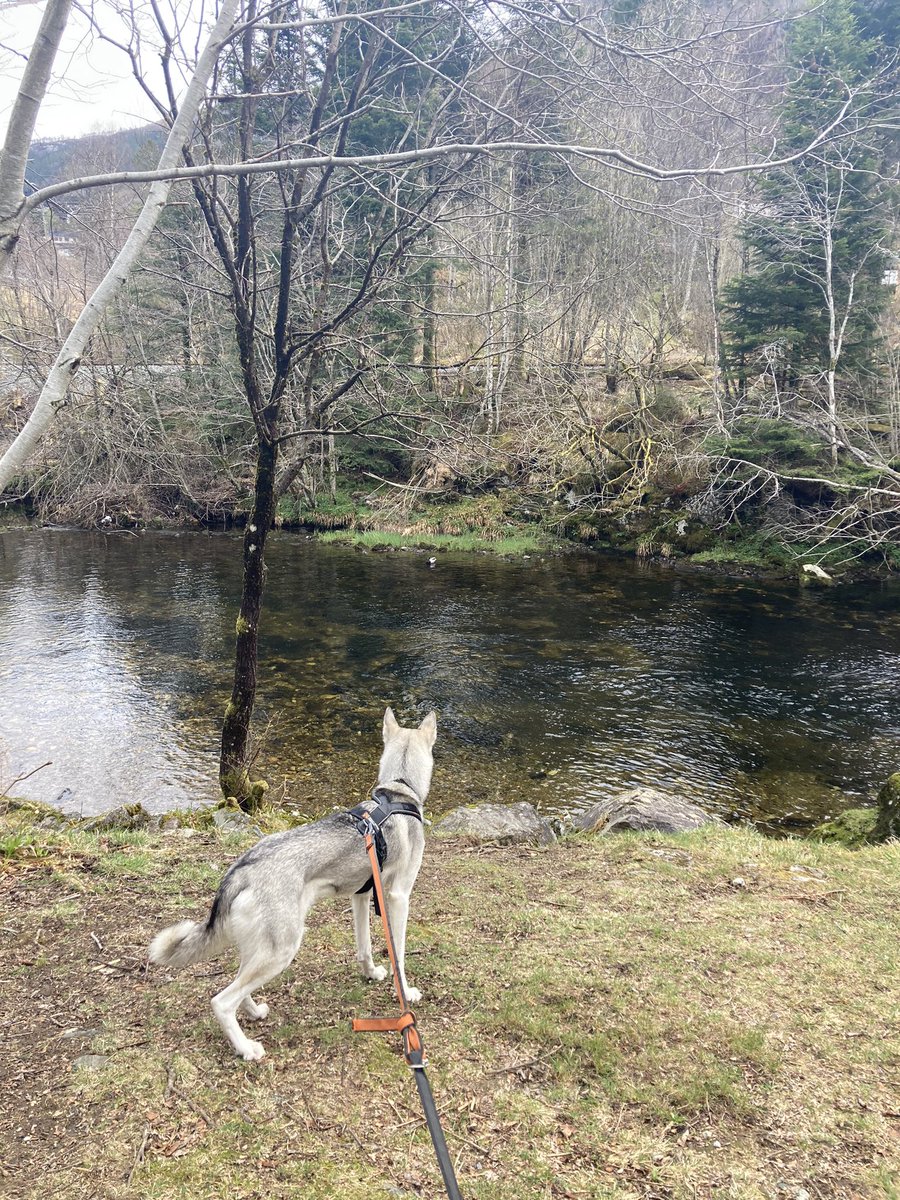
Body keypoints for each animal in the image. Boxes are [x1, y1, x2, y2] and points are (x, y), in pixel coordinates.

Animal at [150, 705, 439, 1065]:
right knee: (222, 1001)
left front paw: (371, 974)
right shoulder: (399, 897)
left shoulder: (361, 897)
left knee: (240, 985)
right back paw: (246, 1048)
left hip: (262, 948)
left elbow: (364, 948)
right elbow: (398, 954)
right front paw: (407, 993)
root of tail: (241, 869)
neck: (398, 791)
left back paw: (254, 1012)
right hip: (282, 950)